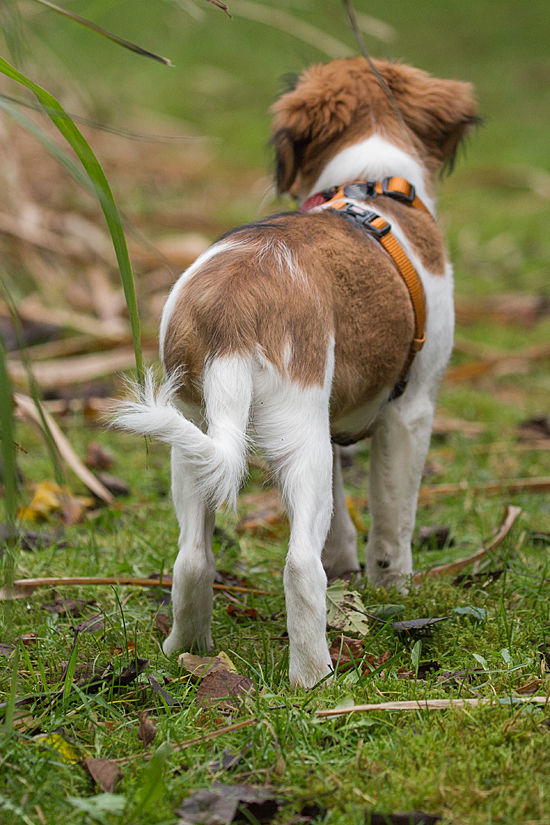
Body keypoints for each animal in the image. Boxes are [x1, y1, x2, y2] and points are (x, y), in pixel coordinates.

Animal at [115, 56, 478, 688]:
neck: (368, 179)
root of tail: (232, 316)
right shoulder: (410, 411)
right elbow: (393, 520)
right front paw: (396, 589)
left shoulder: (331, 420)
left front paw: (350, 564)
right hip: (297, 434)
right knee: (300, 567)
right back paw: (315, 679)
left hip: (192, 433)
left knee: (192, 559)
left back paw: (186, 650)